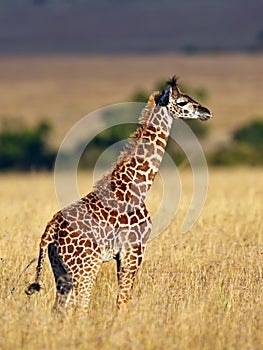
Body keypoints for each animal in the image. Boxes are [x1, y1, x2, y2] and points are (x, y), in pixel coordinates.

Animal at [25, 76, 213, 308]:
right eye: (182, 102)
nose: (206, 111)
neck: (138, 187)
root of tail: (50, 231)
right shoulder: (134, 250)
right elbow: (123, 301)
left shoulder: (120, 255)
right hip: (85, 268)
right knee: (80, 307)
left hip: (60, 268)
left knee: (59, 309)